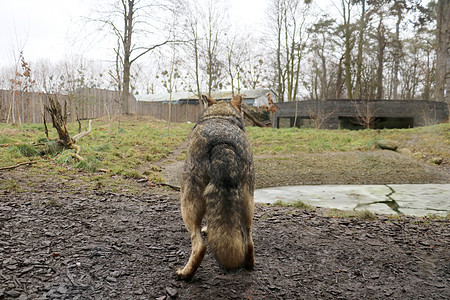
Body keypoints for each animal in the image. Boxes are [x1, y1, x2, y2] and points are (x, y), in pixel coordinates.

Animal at [175, 94, 253, 282]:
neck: (220, 116)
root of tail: (223, 144)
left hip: (187, 206)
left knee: (199, 246)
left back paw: (185, 273)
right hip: (248, 204)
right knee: (249, 241)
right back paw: (249, 265)